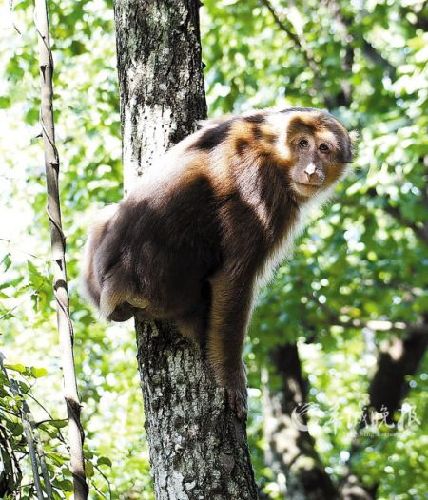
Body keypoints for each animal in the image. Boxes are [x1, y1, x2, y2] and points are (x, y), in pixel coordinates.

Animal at [82, 105, 356, 418]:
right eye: (302, 144)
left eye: (323, 148)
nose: (311, 170)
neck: (271, 148)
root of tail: (113, 287)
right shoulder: (262, 193)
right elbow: (234, 277)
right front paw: (232, 377)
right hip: (165, 289)